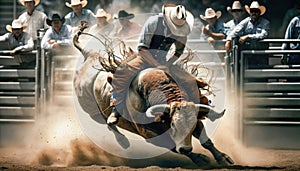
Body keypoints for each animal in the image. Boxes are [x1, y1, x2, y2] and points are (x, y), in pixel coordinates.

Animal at [72, 25, 234, 168]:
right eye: (173, 125)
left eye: (191, 124)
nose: (186, 148)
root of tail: (89, 55)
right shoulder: (149, 135)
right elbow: (172, 146)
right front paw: (200, 159)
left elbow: (205, 140)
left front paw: (223, 158)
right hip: (93, 113)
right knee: (108, 123)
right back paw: (122, 140)